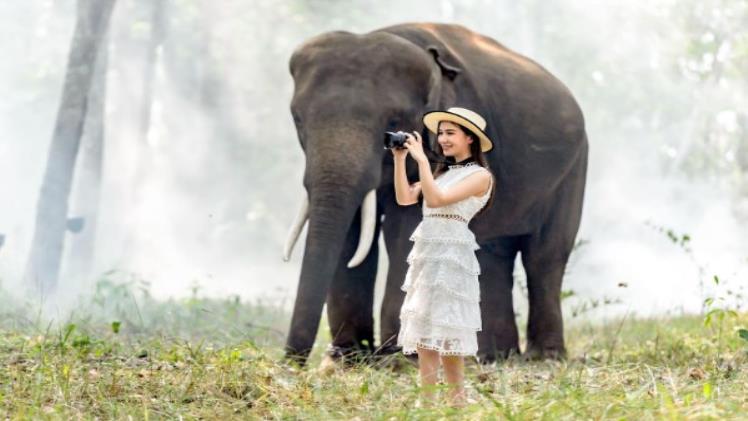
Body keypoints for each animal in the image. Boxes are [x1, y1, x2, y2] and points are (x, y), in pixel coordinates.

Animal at [282, 22, 588, 366]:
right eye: (297, 119)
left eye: (393, 121)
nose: (291, 361)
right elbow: (355, 231)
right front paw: (346, 361)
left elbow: (403, 228)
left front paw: (398, 360)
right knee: (494, 253)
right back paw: (492, 357)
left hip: (572, 170)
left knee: (545, 255)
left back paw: (542, 358)